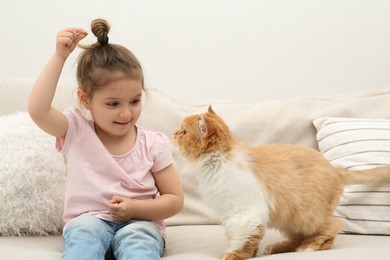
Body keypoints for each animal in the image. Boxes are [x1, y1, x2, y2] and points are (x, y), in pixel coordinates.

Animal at [172, 106, 390, 260]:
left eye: (183, 132)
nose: (173, 134)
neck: (218, 162)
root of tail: (333, 167)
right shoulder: (236, 214)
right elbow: (244, 236)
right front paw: (251, 253)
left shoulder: (244, 213)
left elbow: (241, 238)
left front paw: (233, 255)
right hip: (289, 218)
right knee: (297, 237)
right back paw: (276, 248)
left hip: (307, 214)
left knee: (331, 227)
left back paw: (310, 247)